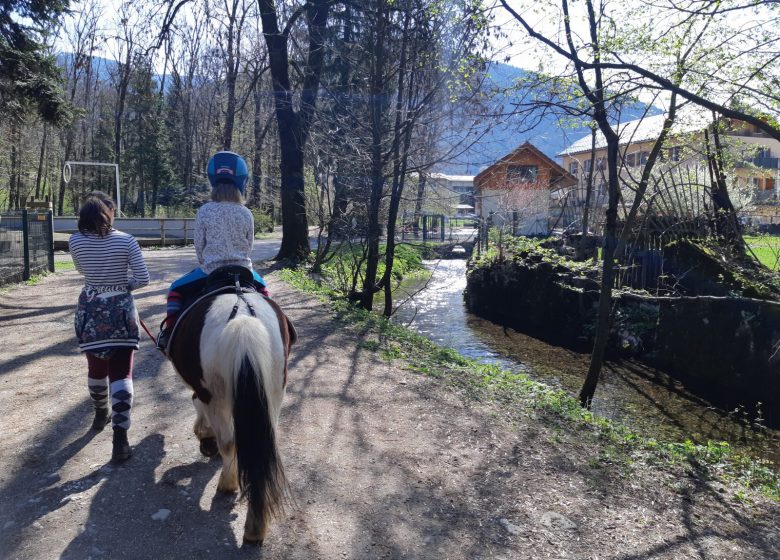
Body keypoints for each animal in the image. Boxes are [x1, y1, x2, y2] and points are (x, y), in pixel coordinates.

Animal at [166, 284, 298, 544]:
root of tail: (243, 321)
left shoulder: (203, 392)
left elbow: (199, 407)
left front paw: (205, 437)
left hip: (215, 396)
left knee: (228, 443)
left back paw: (227, 484)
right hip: (274, 392)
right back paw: (255, 526)